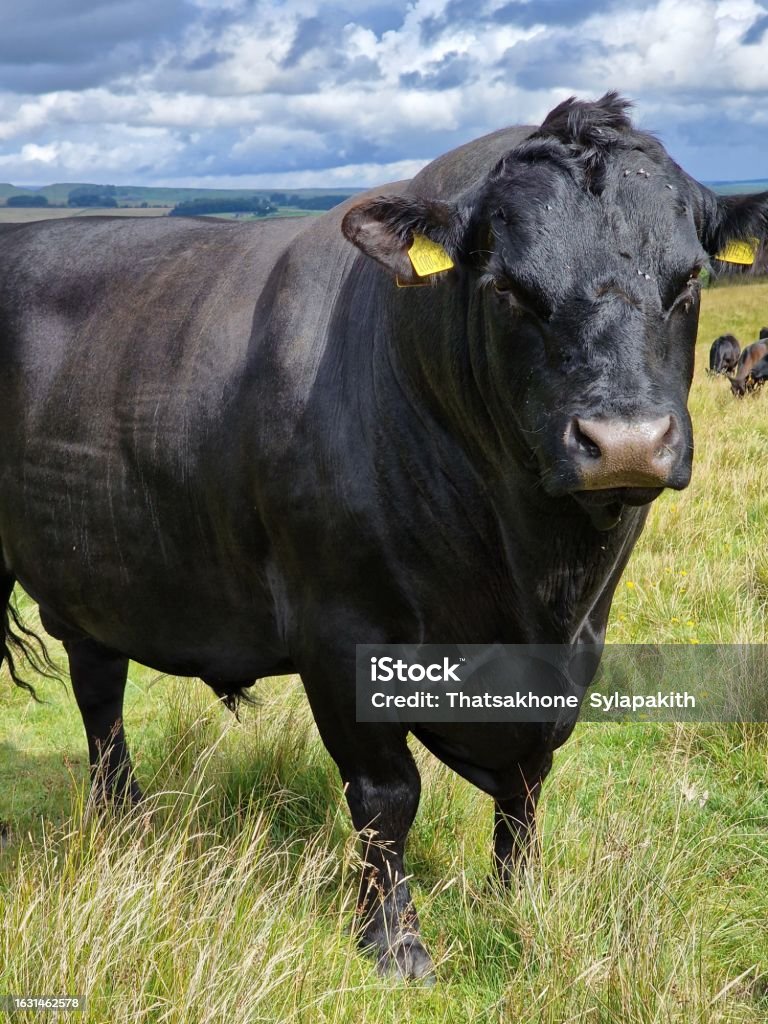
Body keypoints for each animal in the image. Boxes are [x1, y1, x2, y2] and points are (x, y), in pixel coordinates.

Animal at [1, 93, 767, 981]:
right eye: (507, 287)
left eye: (689, 279)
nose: (626, 444)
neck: (532, 584)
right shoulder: (341, 632)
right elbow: (386, 795)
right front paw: (394, 942)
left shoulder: (578, 644)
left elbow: (529, 781)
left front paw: (516, 900)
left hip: (93, 572)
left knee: (99, 691)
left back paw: (123, 820)